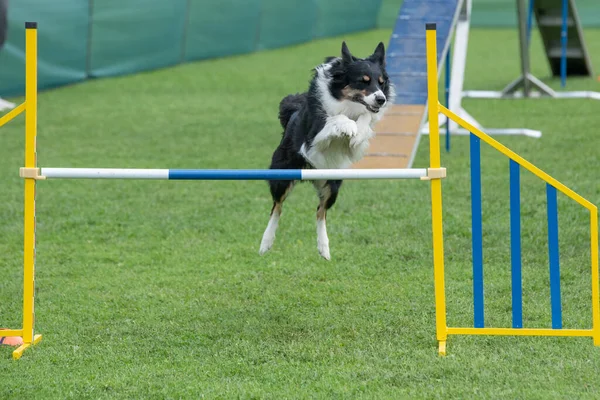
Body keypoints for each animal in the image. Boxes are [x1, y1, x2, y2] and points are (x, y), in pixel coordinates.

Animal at [258, 39, 394, 260]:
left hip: (333, 183)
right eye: (363, 81)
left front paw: (358, 130)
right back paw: (266, 242)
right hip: (282, 175)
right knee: (277, 207)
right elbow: (336, 118)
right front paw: (348, 126)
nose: (381, 99)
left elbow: (364, 121)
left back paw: (324, 248)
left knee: (320, 211)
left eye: (381, 82)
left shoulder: (353, 147)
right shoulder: (313, 140)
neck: (347, 103)